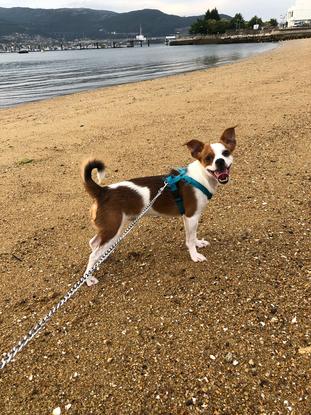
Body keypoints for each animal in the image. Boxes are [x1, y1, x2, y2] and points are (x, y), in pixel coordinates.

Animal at [82, 127, 236, 286]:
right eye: (208, 158)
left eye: (226, 153)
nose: (220, 161)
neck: (201, 176)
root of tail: (103, 191)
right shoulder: (192, 216)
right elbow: (190, 239)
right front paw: (195, 255)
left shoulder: (189, 218)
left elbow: (192, 236)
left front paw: (198, 243)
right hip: (113, 228)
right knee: (93, 255)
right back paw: (89, 279)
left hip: (110, 228)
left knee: (94, 243)